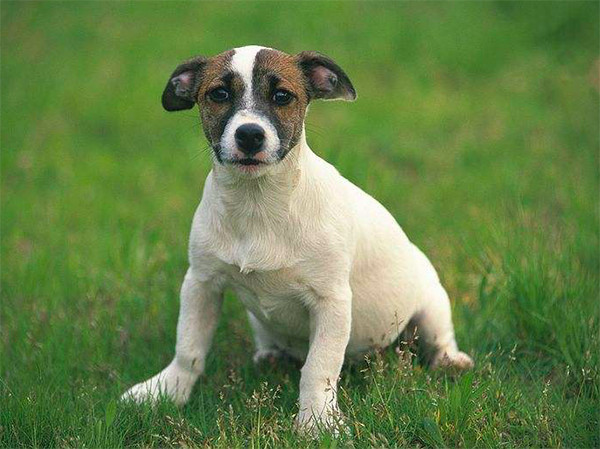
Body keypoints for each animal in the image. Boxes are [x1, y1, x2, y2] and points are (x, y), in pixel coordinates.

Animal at [122, 44, 476, 430]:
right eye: (219, 94)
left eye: (282, 96)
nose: (250, 135)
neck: (258, 203)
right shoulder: (201, 283)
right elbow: (188, 349)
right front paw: (165, 391)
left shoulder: (330, 301)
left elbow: (318, 368)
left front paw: (317, 422)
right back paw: (271, 357)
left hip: (431, 306)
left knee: (439, 339)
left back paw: (451, 362)